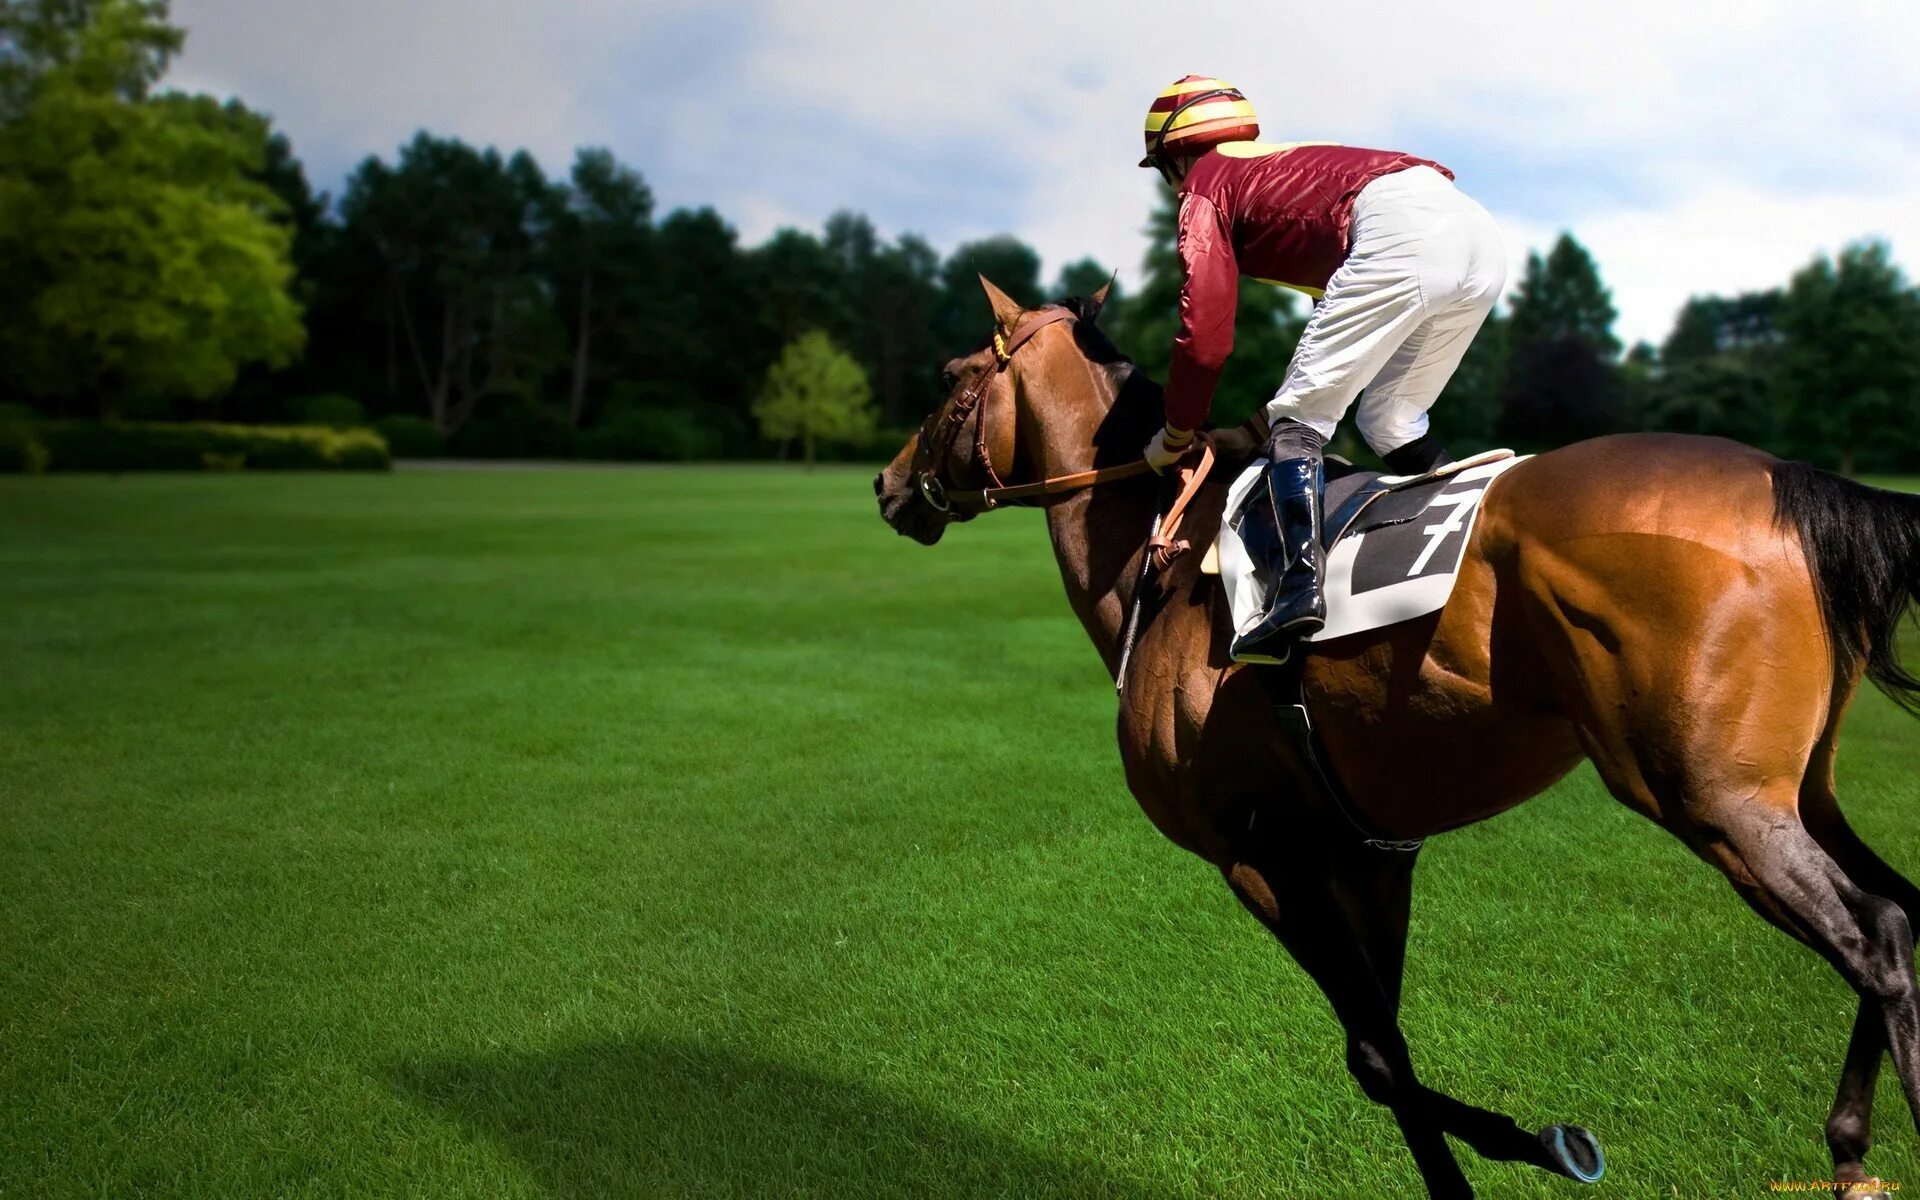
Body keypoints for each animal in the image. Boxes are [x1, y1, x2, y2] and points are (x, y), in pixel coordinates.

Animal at [879, 278, 1920, 1198]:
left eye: (950, 375)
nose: (889, 486)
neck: (1160, 558)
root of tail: (1790, 478)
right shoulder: (1370, 853)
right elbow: (1388, 1050)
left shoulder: (1260, 851)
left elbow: (1375, 1056)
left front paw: (1550, 1146)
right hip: (1797, 790)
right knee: (1904, 904)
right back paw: (1847, 1145)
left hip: (1714, 799)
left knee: (1876, 935)